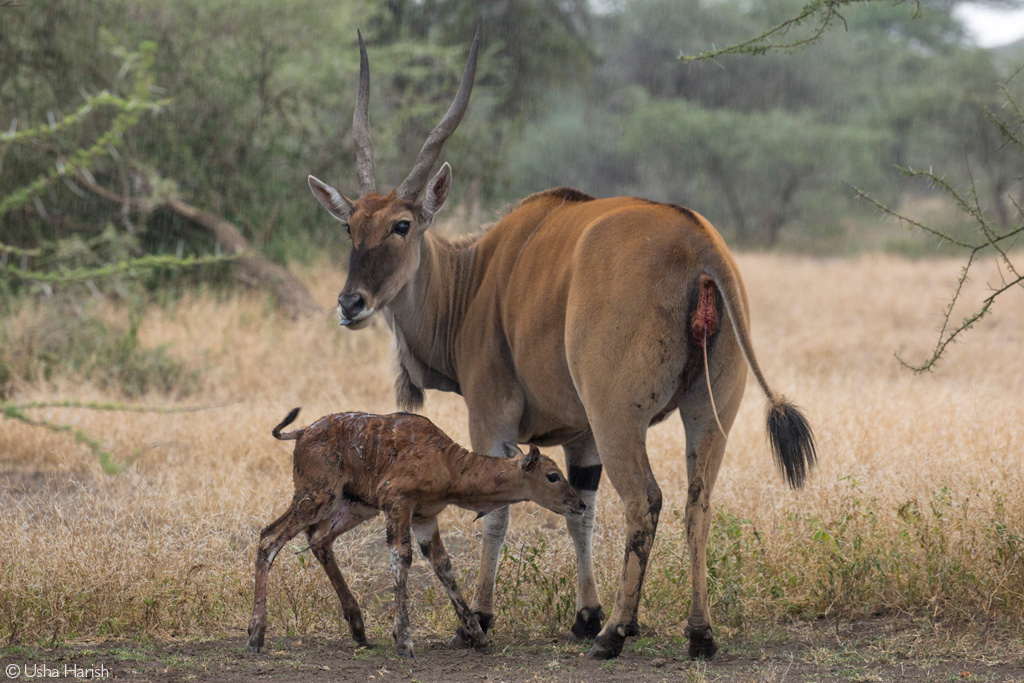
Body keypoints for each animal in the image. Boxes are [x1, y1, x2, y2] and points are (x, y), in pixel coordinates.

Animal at [305, 28, 815, 663]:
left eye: (401, 225)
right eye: (349, 227)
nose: (351, 303)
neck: (478, 276)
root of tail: (699, 248)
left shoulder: (494, 418)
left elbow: (498, 513)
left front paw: (481, 619)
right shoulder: (581, 438)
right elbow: (581, 513)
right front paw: (584, 612)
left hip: (621, 416)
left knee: (646, 501)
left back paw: (615, 634)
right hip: (707, 412)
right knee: (697, 504)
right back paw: (697, 633)